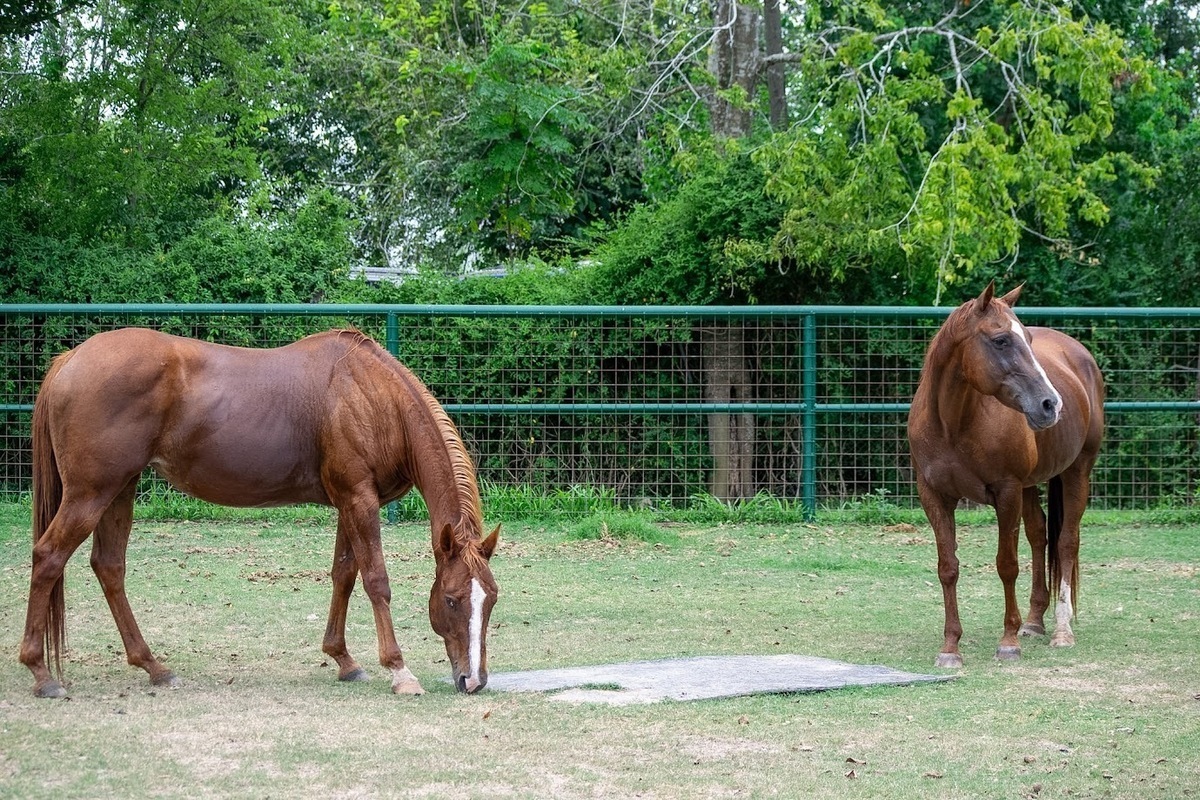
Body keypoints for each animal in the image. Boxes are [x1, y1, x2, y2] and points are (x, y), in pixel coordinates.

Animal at [20, 327, 500, 698]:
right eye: (452, 599)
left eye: (492, 599)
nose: (473, 681)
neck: (371, 394)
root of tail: (71, 359)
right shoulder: (359, 500)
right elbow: (376, 580)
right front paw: (399, 671)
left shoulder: (351, 502)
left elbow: (344, 574)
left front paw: (343, 660)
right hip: (91, 493)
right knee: (48, 558)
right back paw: (41, 674)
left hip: (120, 490)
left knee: (109, 566)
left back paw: (154, 667)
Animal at [907, 282, 1104, 668]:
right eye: (1001, 340)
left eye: (1027, 338)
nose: (1051, 404)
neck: (952, 424)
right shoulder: (934, 496)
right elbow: (947, 567)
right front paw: (950, 647)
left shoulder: (1007, 492)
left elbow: (1007, 565)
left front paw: (1008, 641)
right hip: (1030, 487)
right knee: (1039, 535)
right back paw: (1034, 621)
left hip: (1077, 472)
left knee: (1066, 542)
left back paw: (1061, 631)